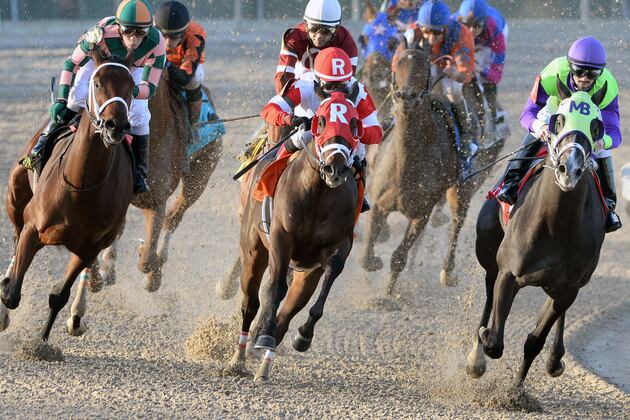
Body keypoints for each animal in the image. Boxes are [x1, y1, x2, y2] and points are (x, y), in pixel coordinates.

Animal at [0, 49, 135, 340]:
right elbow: (12, 293)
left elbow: (58, 296)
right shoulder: (33, 228)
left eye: (132, 87)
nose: (115, 126)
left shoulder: (89, 248)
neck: (81, 184)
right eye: (97, 83)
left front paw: (41, 341)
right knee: (15, 238)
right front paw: (5, 291)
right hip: (15, 199)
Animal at [90, 74, 223, 292]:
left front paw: (151, 269)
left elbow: (146, 260)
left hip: (200, 175)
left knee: (173, 217)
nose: (112, 125)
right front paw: (100, 272)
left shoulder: (155, 200)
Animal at [230, 92, 362, 384]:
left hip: (305, 274)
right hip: (253, 250)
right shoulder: (282, 238)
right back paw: (239, 358)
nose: (336, 168)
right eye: (321, 121)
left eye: (354, 123)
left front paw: (303, 336)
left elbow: (323, 287)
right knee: (250, 303)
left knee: (286, 316)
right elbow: (275, 289)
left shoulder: (336, 248)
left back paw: (265, 367)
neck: (318, 194)